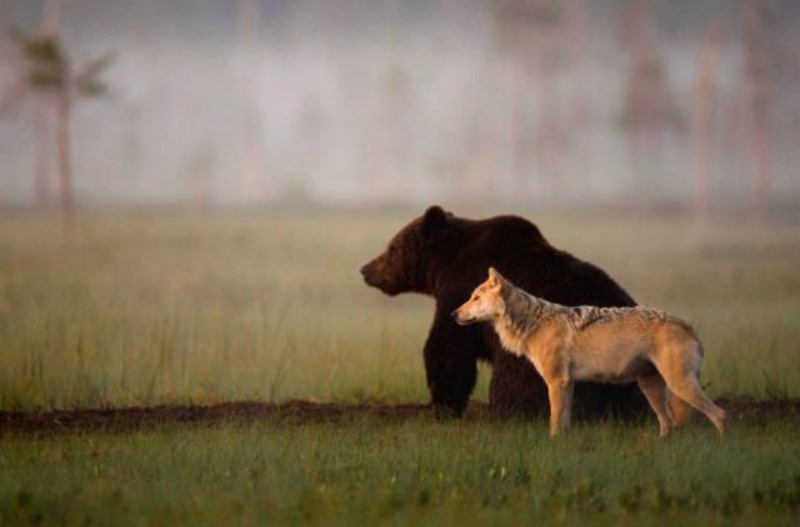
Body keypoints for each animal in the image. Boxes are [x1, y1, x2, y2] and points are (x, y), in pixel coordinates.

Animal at [360, 204, 648, 418]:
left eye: (392, 248)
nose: (366, 269)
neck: (444, 264)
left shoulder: (459, 290)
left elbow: (448, 348)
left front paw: (443, 402)